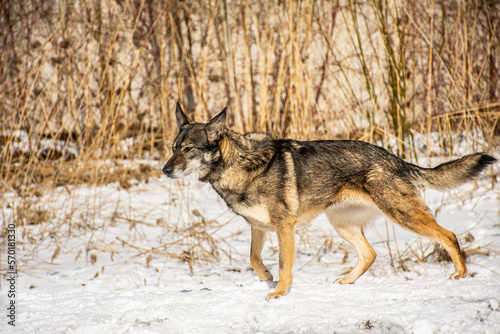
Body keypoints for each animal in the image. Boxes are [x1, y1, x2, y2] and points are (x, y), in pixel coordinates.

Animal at [163, 102, 496, 300]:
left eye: (189, 149)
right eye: (173, 147)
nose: (165, 170)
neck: (238, 165)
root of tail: (395, 158)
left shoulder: (284, 226)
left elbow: (284, 265)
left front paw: (279, 292)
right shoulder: (258, 227)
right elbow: (254, 259)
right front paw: (266, 278)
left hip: (403, 216)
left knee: (449, 235)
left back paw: (461, 274)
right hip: (342, 224)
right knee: (370, 254)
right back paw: (347, 281)